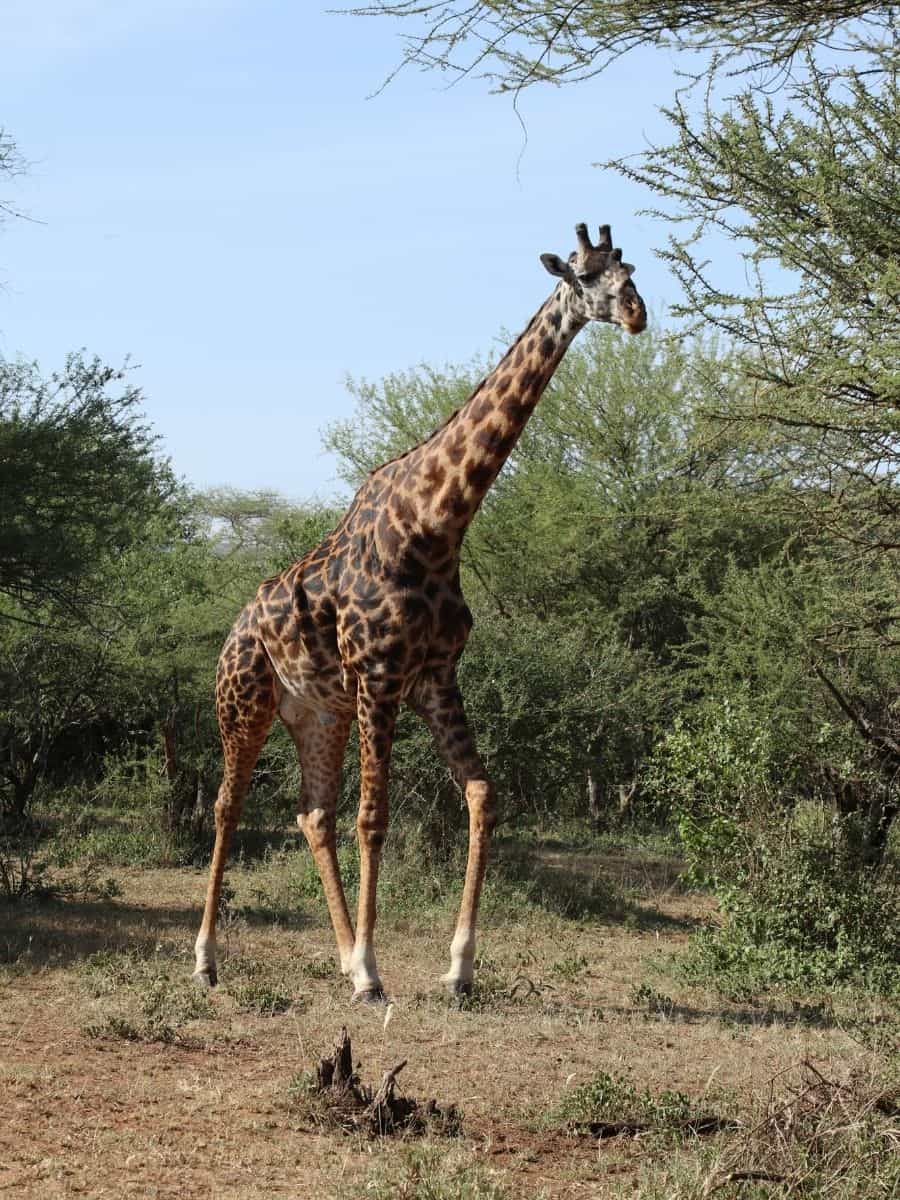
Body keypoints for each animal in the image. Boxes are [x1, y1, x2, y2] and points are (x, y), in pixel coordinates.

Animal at [193, 221, 646, 1002]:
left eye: (631, 272)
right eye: (585, 276)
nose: (637, 313)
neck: (437, 523)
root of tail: (236, 627)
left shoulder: (435, 677)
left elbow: (483, 795)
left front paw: (456, 969)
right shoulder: (380, 674)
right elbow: (375, 818)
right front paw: (376, 974)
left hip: (318, 712)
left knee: (313, 813)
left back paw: (341, 955)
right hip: (244, 700)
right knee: (228, 806)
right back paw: (208, 959)